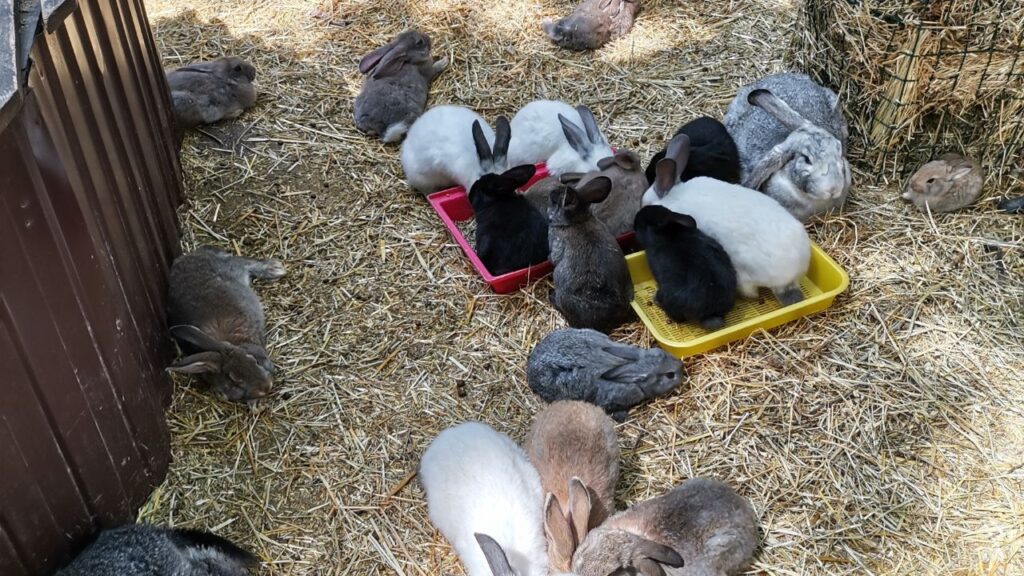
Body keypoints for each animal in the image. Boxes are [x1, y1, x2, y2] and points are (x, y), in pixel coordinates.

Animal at [166, 245, 285, 402]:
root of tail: (188, 257)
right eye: (234, 381)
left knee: (244, 262)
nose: (267, 387)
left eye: (255, 361)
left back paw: (275, 268)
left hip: (232, 268)